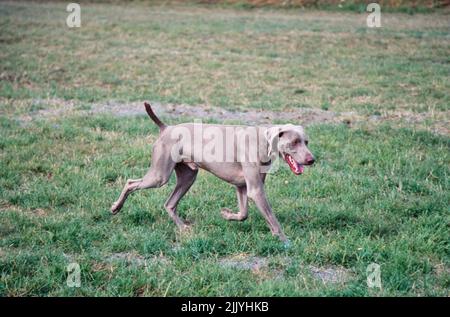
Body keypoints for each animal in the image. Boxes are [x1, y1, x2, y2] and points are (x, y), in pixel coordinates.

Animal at [111, 102, 316, 243]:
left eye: (306, 141)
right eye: (294, 142)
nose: (311, 160)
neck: (262, 141)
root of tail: (166, 128)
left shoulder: (242, 186)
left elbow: (243, 214)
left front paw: (226, 215)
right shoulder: (255, 190)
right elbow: (272, 218)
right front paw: (285, 240)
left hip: (188, 177)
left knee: (169, 204)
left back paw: (183, 228)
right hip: (160, 175)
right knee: (131, 183)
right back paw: (115, 207)